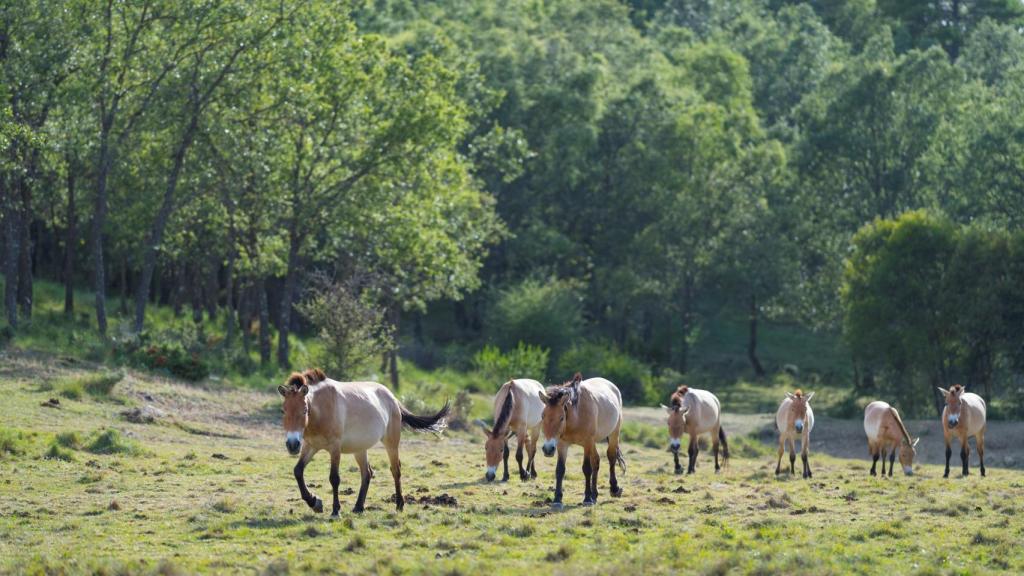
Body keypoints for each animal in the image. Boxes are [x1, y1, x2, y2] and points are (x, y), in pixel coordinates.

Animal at [276, 368, 448, 512]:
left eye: (305, 410)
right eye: (283, 410)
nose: (292, 445)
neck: (321, 411)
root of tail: (392, 397)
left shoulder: (335, 448)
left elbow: (334, 478)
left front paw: (335, 510)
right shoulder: (310, 446)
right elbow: (298, 471)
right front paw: (315, 502)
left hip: (391, 443)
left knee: (395, 470)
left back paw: (399, 505)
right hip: (359, 449)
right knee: (367, 473)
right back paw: (358, 507)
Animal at [536, 373, 622, 502]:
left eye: (561, 418)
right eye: (542, 416)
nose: (548, 449)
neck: (576, 417)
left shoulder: (587, 442)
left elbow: (586, 468)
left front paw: (586, 498)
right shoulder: (562, 444)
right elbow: (560, 469)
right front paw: (557, 498)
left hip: (613, 434)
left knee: (611, 457)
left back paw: (614, 489)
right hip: (593, 443)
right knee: (596, 461)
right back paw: (594, 494)